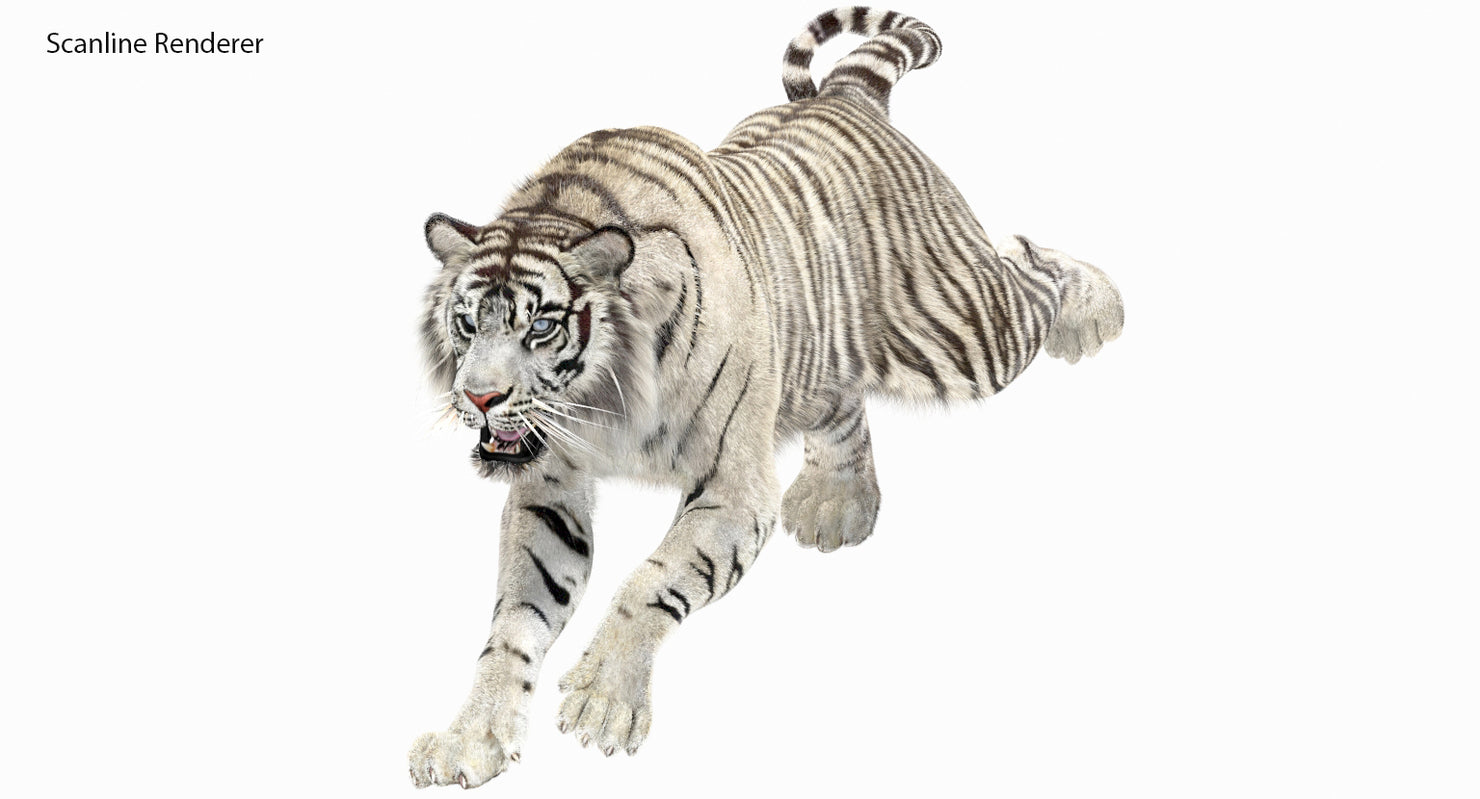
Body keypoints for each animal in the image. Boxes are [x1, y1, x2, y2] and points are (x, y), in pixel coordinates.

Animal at [408, 6, 1124, 789]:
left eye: (539, 326)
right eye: (467, 321)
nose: (479, 398)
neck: (601, 405)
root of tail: (845, 93)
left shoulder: (734, 487)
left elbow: (651, 580)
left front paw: (604, 701)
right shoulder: (549, 488)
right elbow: (515, 618)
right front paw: (471, 736)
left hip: (963, 331)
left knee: (1029, 265)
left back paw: (1099, 310)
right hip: (820, 349)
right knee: (845, 403)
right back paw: (839, 504)